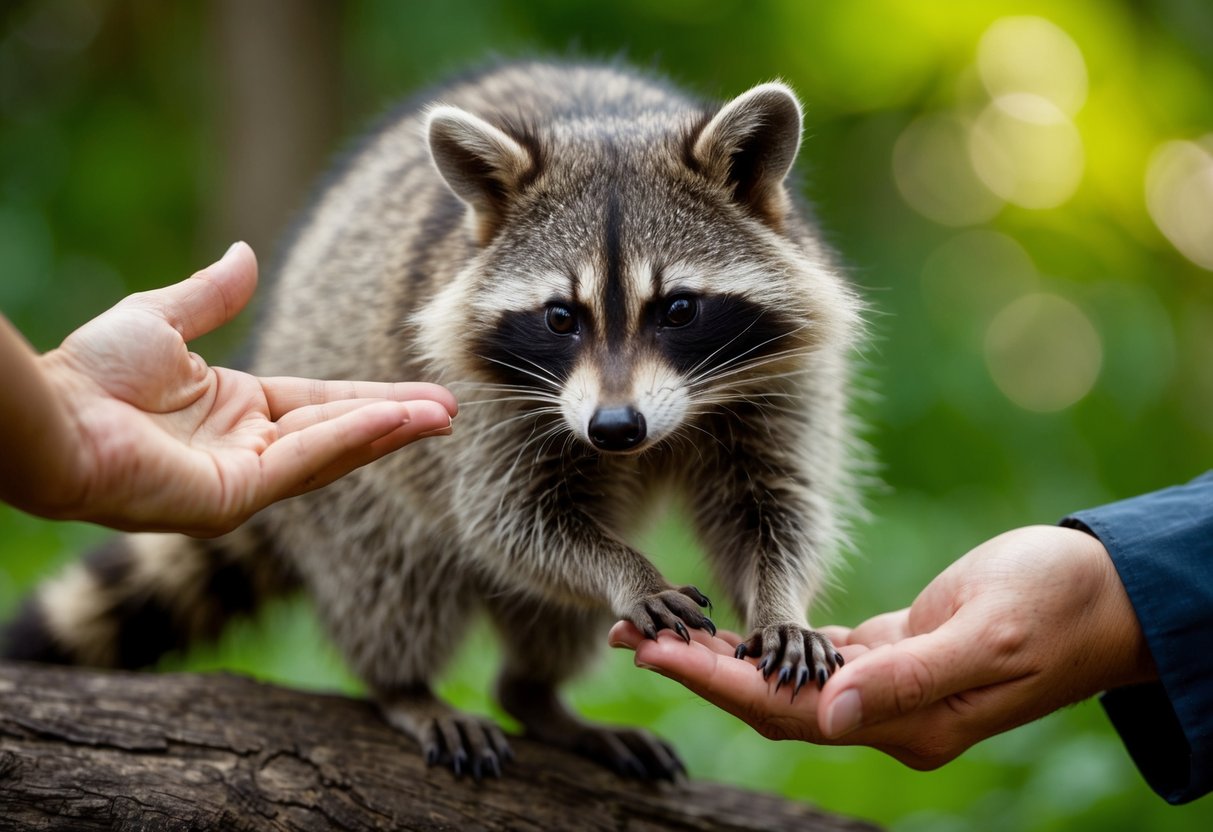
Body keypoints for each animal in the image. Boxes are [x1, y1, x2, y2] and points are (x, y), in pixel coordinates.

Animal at [3, 61, 863, 780]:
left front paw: (779, 602)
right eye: (560, 318)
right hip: (358, 486)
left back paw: (535, 695)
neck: (608, 124)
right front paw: (625, 572)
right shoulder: (481, 392)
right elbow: (510, 521)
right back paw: (407, 685)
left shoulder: (779, 377)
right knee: (399, 574)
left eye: (678, 309)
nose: (614, 429)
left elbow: (770, 502)